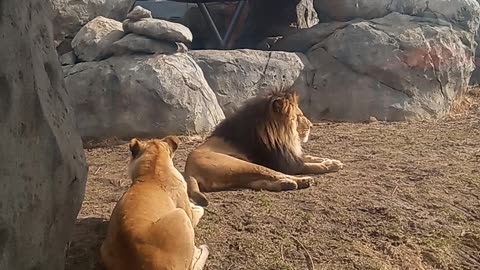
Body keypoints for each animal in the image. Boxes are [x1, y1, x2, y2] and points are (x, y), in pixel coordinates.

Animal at [185, 89, 344, 206]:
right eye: (299, 116)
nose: (311, 126)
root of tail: (188, 172)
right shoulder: (286, 164)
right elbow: (310, 165)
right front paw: (329, 166)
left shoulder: (289, 154)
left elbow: (310, 157)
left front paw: (332, 161)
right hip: (241, 164)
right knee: (274, 174)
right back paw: (303, 181)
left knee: (258, 182)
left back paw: (287, 184)